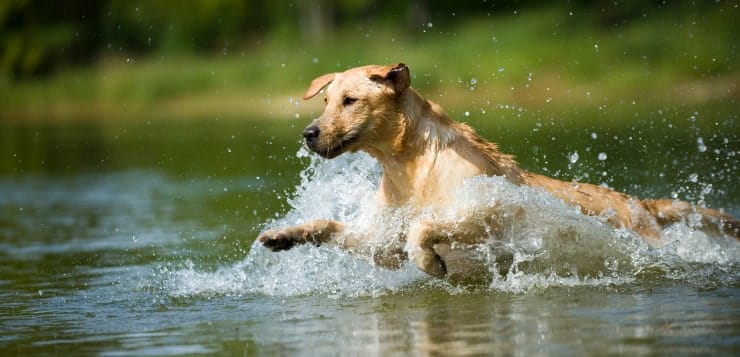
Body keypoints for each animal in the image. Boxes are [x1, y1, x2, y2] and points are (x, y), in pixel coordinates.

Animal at [258, 63, 736, 278]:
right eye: (325, 100)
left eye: (350, 100)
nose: (309, 133)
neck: (409, 167)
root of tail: (640, 203)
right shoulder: (381, 239)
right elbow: (335, 227)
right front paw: (284, 234)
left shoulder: (489, 213)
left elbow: (425, 227)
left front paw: (430, 263)